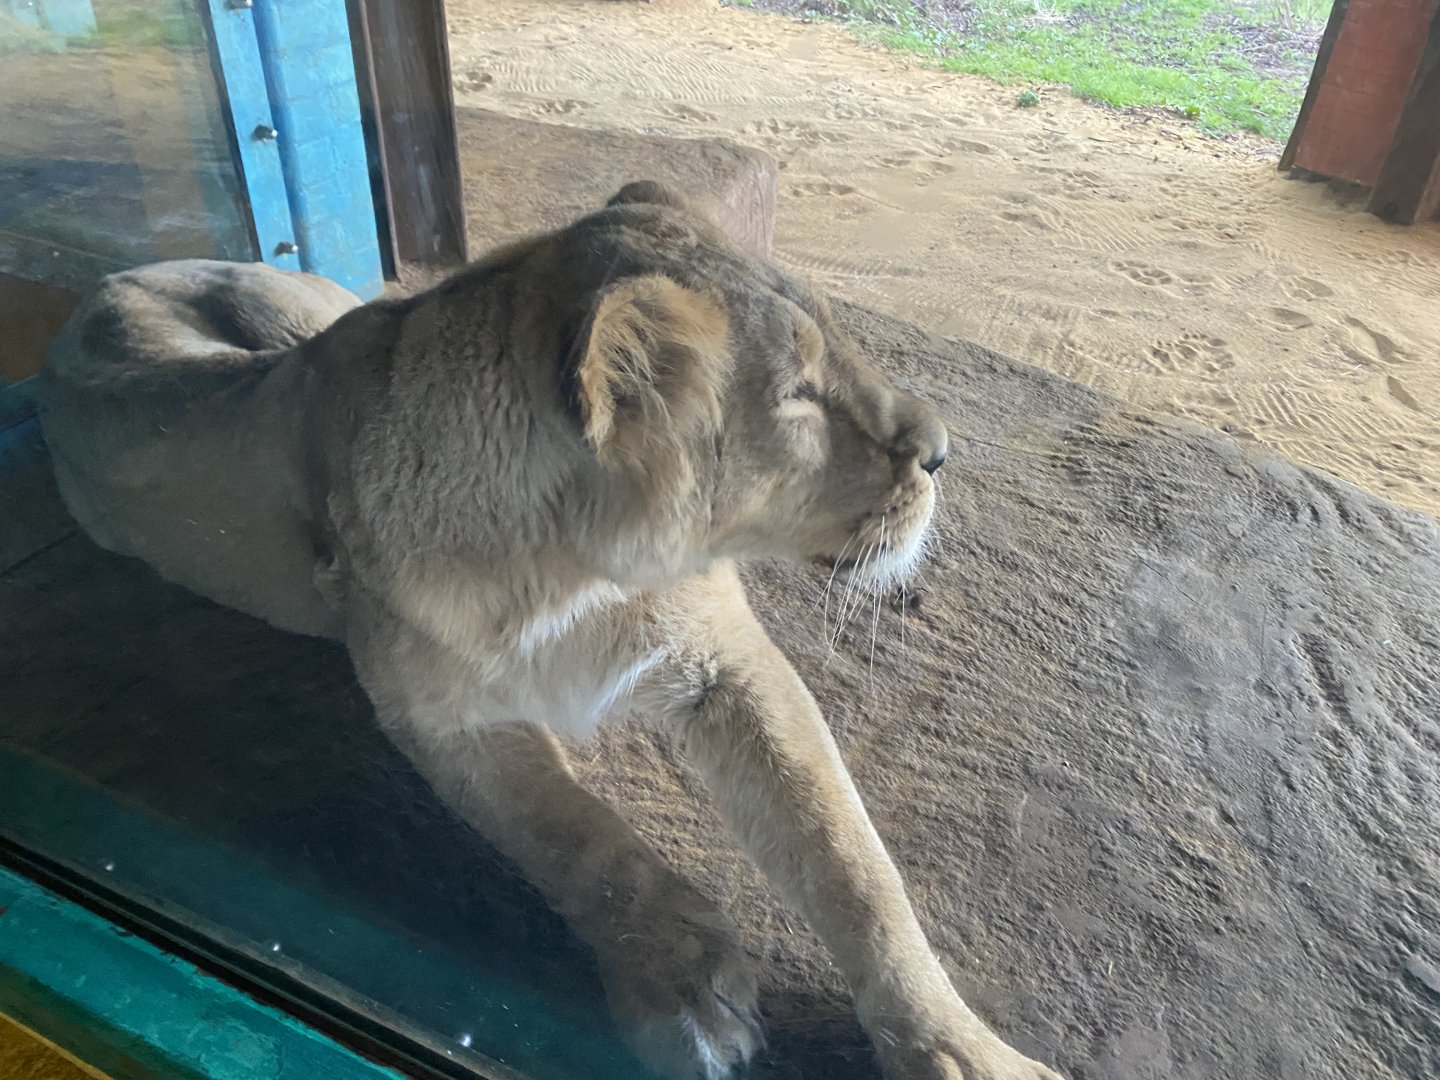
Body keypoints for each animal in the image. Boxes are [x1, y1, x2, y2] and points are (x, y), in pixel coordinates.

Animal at [38, 182, 1064, 1080]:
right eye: (800, 395)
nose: (943, 452)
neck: (579, 569)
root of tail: (102, 287)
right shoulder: (440, 720)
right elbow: (575, 836)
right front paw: (685, 987)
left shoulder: (728, 662)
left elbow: (851, 863)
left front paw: (960, 1049)